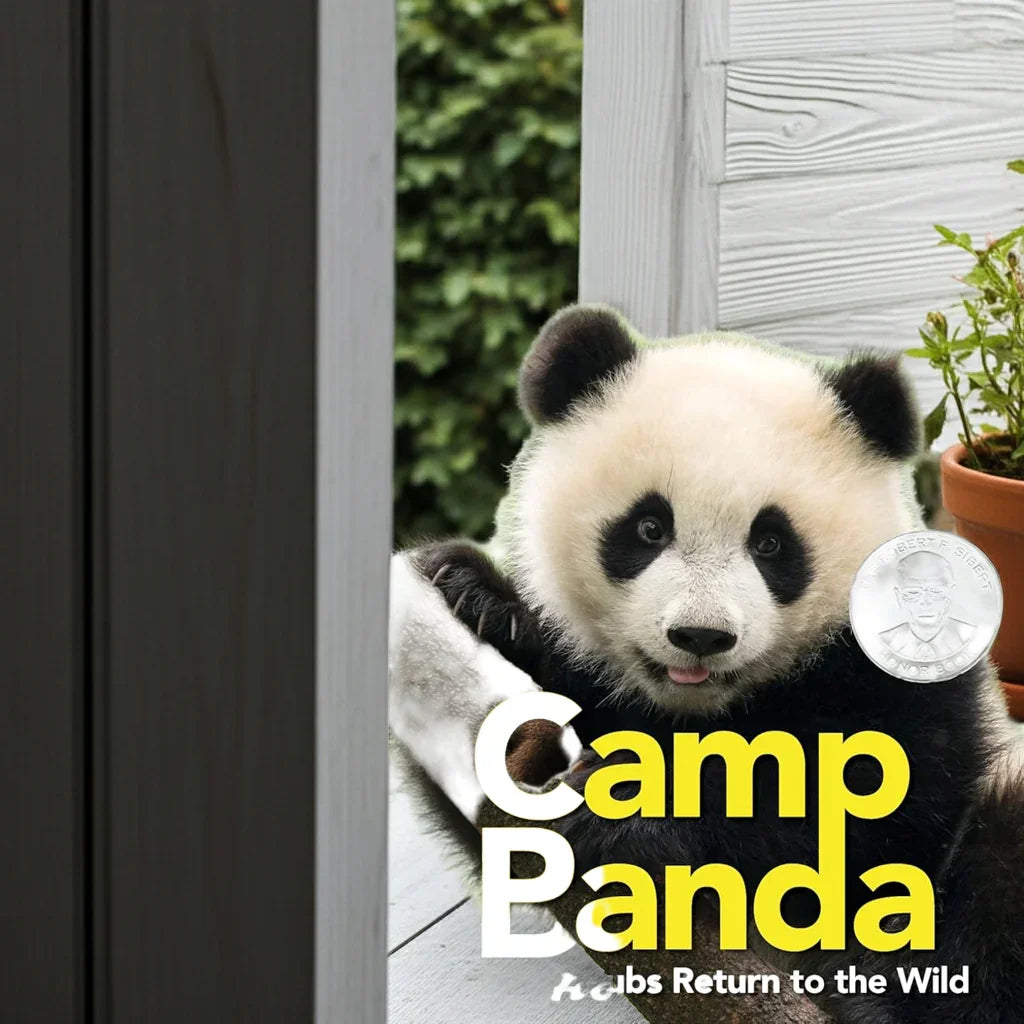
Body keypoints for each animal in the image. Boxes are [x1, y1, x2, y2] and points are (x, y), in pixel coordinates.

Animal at [397, 304, 1024, 1023]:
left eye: (772, 543)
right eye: (649, 528)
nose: (700, 635)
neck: (701, 708)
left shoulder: (898, 686)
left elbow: (854, 806)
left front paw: (628, 811)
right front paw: (474, 593)